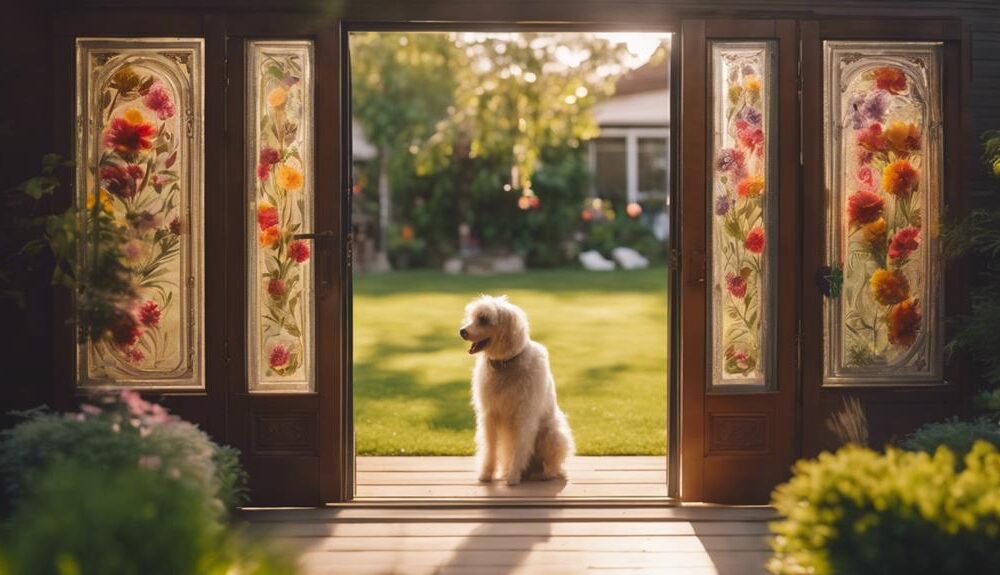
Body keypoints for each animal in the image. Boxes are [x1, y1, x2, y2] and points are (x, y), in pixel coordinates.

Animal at [458, 296, 576, 486]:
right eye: (473, 317)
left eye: (484, 319)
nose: (462, 331)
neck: (505, 365)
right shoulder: (489, 415)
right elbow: (490, 448)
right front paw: (486, 474)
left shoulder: (524, 416)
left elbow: (520, 447)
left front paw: (513, 477)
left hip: (552, 434)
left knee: (553, 466)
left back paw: (543, 474)